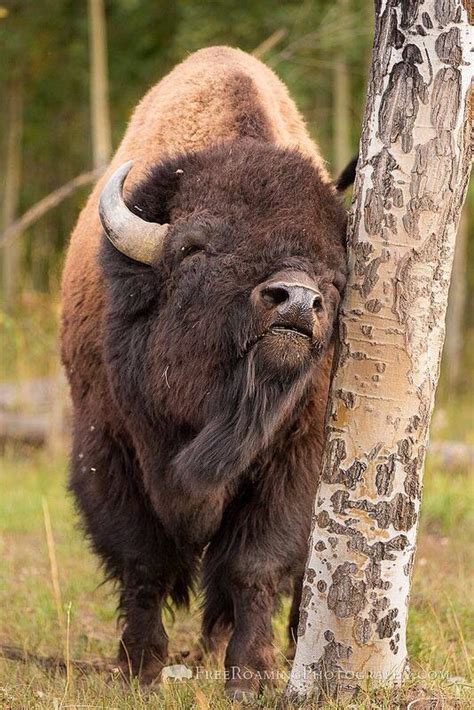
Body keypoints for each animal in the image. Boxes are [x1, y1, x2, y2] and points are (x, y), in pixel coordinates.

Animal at [60, 47, 352, 704]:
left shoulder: (294, 460)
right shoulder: (106, 446)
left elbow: (253, 567)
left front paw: (252, 677)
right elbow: (141, 560)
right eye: (197, 248)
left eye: (335, 275)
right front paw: (140, 669)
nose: (297, 300)